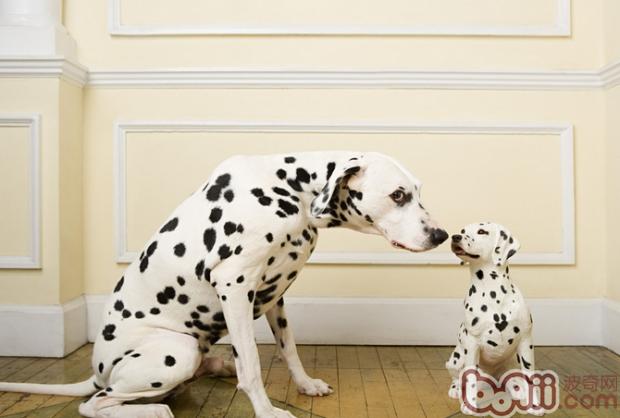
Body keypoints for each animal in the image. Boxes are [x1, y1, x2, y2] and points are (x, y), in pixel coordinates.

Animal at [0, 152, 446, 416]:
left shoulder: (275, 296)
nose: (441, 235)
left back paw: (214, 366)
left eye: (417, 191)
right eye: (398, 195)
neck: (291, 190)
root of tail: (97, 372)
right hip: (174, 352)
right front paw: (268, 412)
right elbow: (252, 365)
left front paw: (305, 385)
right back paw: (153, 409)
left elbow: (289, 350)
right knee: (95, 404)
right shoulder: (235, 284)